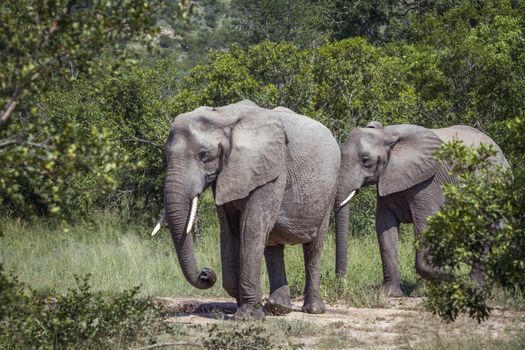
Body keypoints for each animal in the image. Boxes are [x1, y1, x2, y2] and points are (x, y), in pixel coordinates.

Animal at [154, 100, 338, 318]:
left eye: (203, 155)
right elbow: (229, 231)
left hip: (330, 190)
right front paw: (246, 304)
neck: (223, 116)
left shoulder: (272, 171)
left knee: (313, 247)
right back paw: (278, 308)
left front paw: (248, 316)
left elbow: (250, 228)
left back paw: (313, 310)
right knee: (272, 244)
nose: (206, 273)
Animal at [332, 121, 508, 296]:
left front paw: (452, 278)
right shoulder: (388, 180)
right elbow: (384, 227)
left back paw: (472, 287)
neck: (387, 134)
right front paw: (389, 294)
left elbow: (425, 223)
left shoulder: (428, 182)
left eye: (366, 160)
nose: (342, 285)